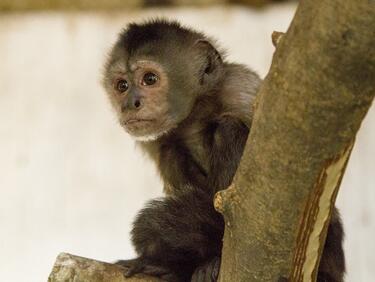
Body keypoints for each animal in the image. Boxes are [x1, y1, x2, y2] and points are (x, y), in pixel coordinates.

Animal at [103, 18, 346, 280]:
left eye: (149, 79)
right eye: (122, 86)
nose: (130, 104)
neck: (196, 114)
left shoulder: (240, 88)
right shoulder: (158, 140)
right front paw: (169, 264)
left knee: (227, 129)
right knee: (172, 153)